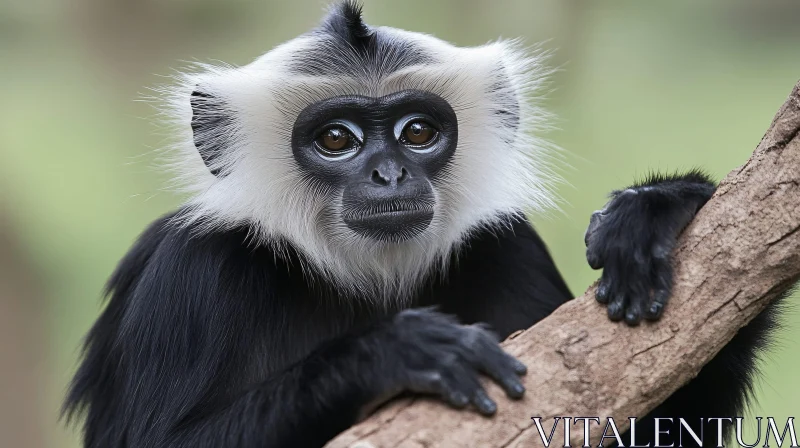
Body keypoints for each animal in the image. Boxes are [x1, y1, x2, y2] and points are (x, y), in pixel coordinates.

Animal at [67, 1, 780, 446]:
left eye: (417, 132)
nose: (390, 175)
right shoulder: (192, 275)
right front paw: (389, 352)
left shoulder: (506, 245)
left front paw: (660, 210)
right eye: (336, 139)